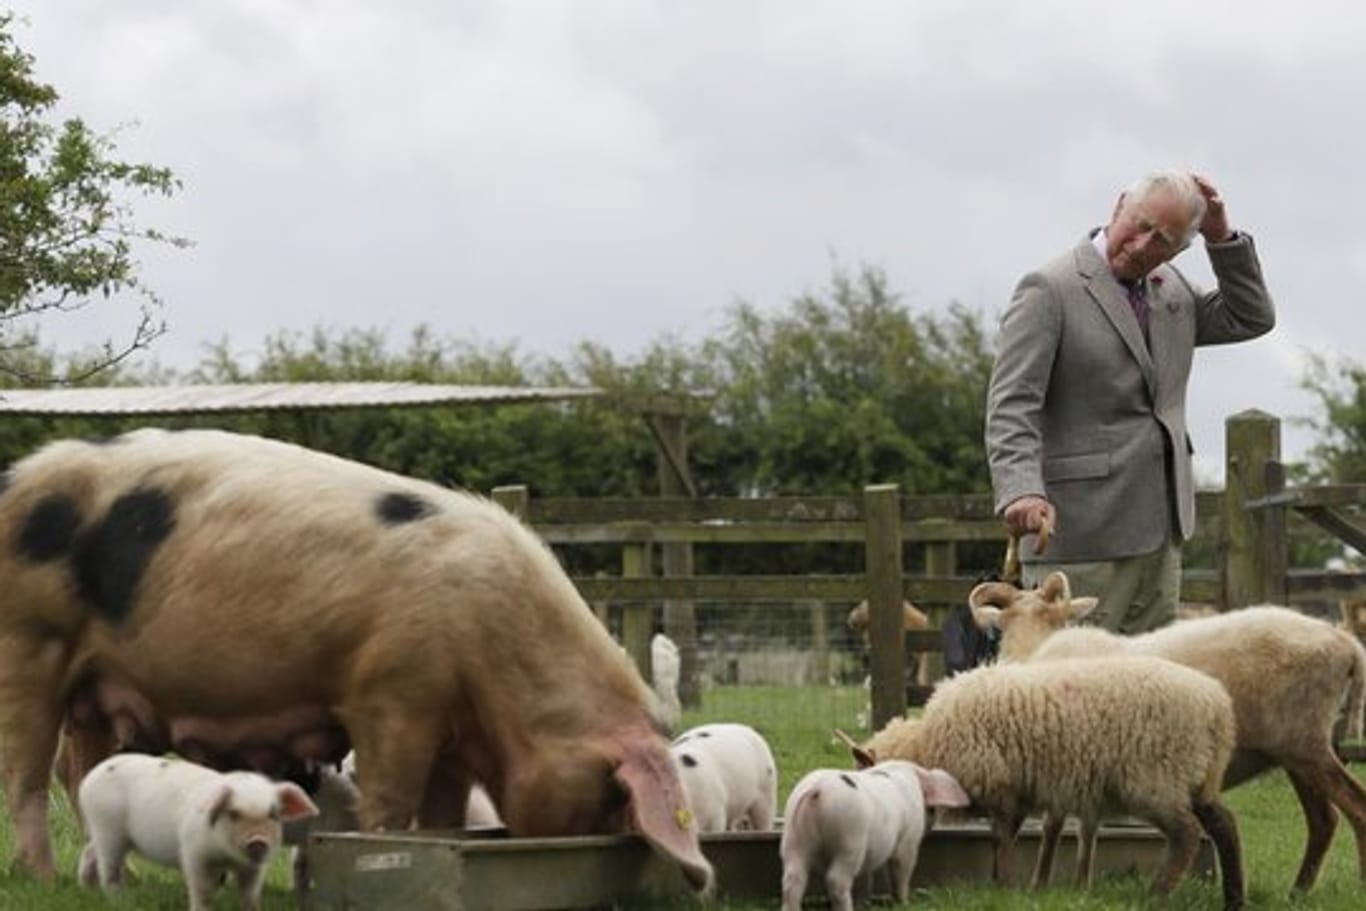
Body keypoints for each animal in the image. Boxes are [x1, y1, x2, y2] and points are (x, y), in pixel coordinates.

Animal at [0, 428, 715, 890]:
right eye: (610, 792)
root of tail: (15, 479)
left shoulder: (450, 734)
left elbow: (442, 812)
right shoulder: (392, 695)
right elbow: (391, 802)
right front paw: (379, 846)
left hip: (95, 686)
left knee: (82, 772)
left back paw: (97, 879)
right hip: (28, 644)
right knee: (28, 776)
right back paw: (41, 875)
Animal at [846, 652, 1245, 906]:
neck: (927, 743)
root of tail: (1217, 705)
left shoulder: (1000, 786)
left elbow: (1000, 838)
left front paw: (1005, 887)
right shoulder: (1017, 790)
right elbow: (1008, 838)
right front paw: (1006, 884)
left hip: (1155, 778)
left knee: (1187, 834)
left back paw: (1157, 894)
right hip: (1194, 777)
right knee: (1223, 824)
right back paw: (1234, 897)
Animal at [972, 573, 1366, 895]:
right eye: (1003, 623)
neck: (1034, 650)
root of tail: (1346, 644)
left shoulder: (1064, 758)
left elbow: (1054, 826)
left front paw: (1039, 884)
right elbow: (1086, 827)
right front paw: (1081, 885)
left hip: (1304, 744)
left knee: (1356, 808)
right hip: (1295, 751)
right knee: (1324, 821)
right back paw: (1297, 893)